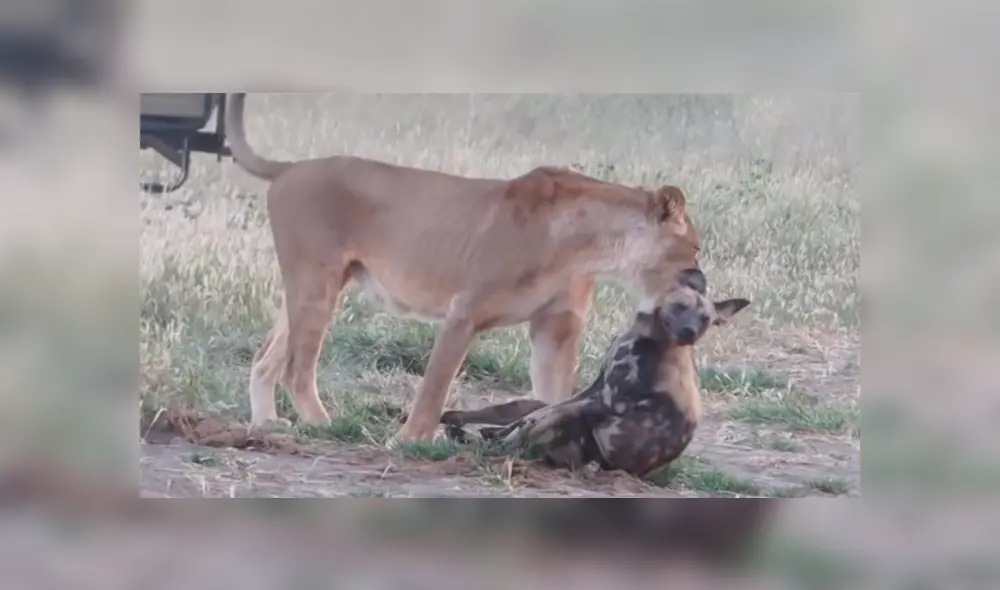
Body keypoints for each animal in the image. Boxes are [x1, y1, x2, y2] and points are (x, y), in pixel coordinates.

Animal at [224, 92, 702, 444]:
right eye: (694, 250)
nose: (701, 278)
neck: (591, 248)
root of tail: (292, 167)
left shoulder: (557, 328)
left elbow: (553, 395)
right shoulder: (464, 311)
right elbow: (435, 386)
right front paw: (410, 441)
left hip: (316, 285)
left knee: (265, 361)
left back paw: (266, 424)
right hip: (315, 282)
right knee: (296, 368)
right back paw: (326, 425)